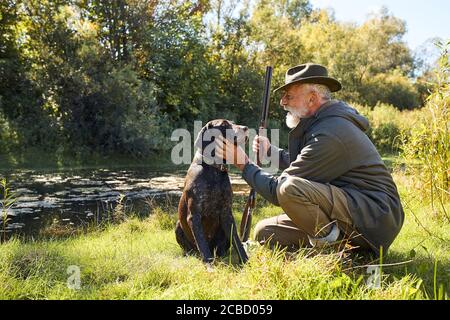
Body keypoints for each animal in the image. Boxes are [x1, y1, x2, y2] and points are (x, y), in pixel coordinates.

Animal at [175, 119, 250, 264]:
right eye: (224, 125)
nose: (246, 128)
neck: (214, 170)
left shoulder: (227, 214)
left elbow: (237, 241)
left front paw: (246, 262)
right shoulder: (194, 216)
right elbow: (203, 245)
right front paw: (209, 265)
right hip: (178, 226)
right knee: (193, 249)